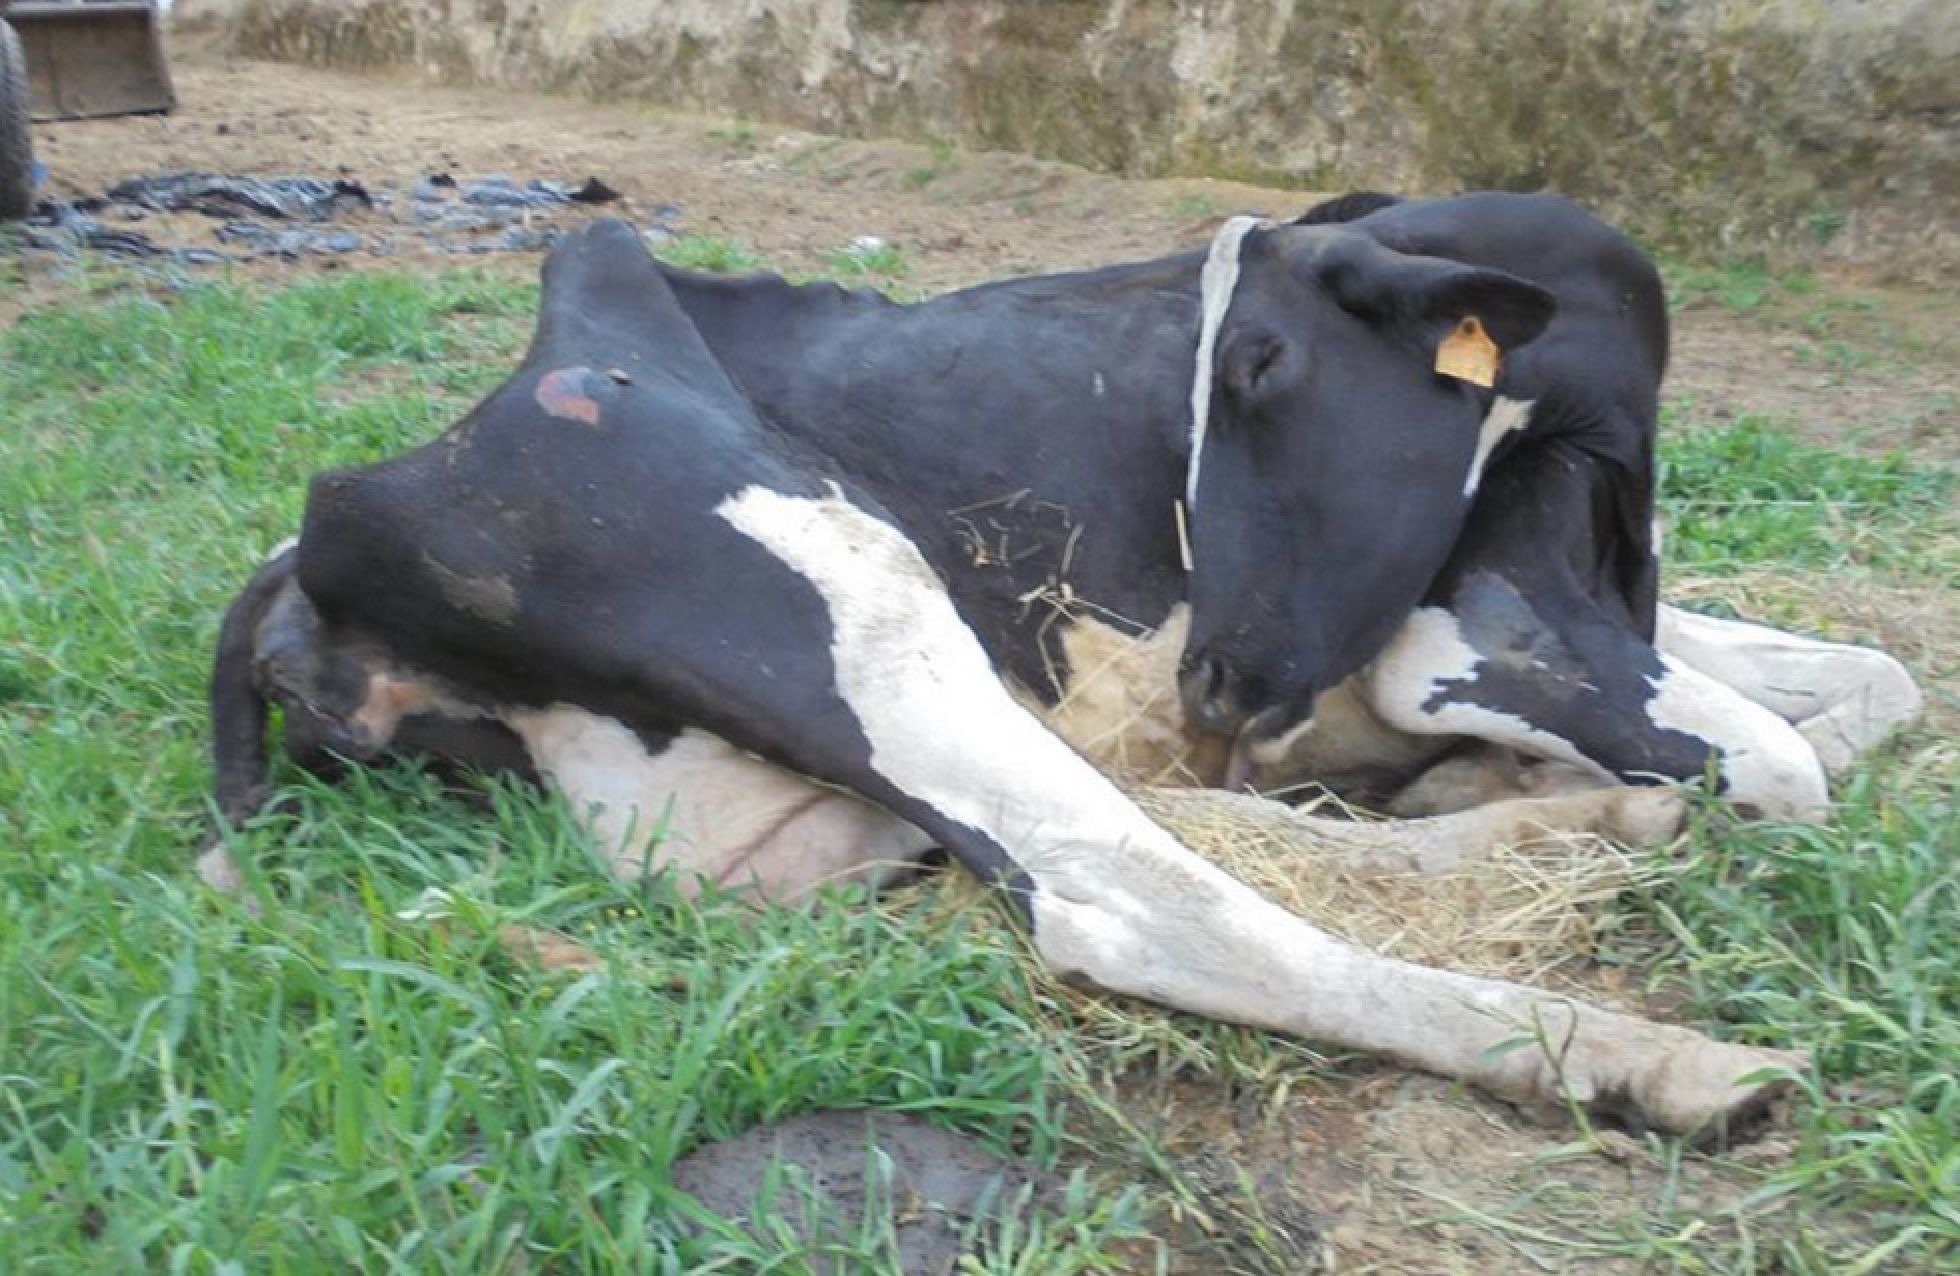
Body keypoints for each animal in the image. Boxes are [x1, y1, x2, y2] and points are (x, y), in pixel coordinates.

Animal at [200, 207, 1921, 1138]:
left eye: (1261, 364)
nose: (1219, 684)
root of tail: (345, 505)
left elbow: (1873, 683)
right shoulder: (1454, 634)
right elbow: (1793, 761)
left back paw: (1567, 827)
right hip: (848, 588)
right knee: (1126, 893)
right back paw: (1653, 1057)